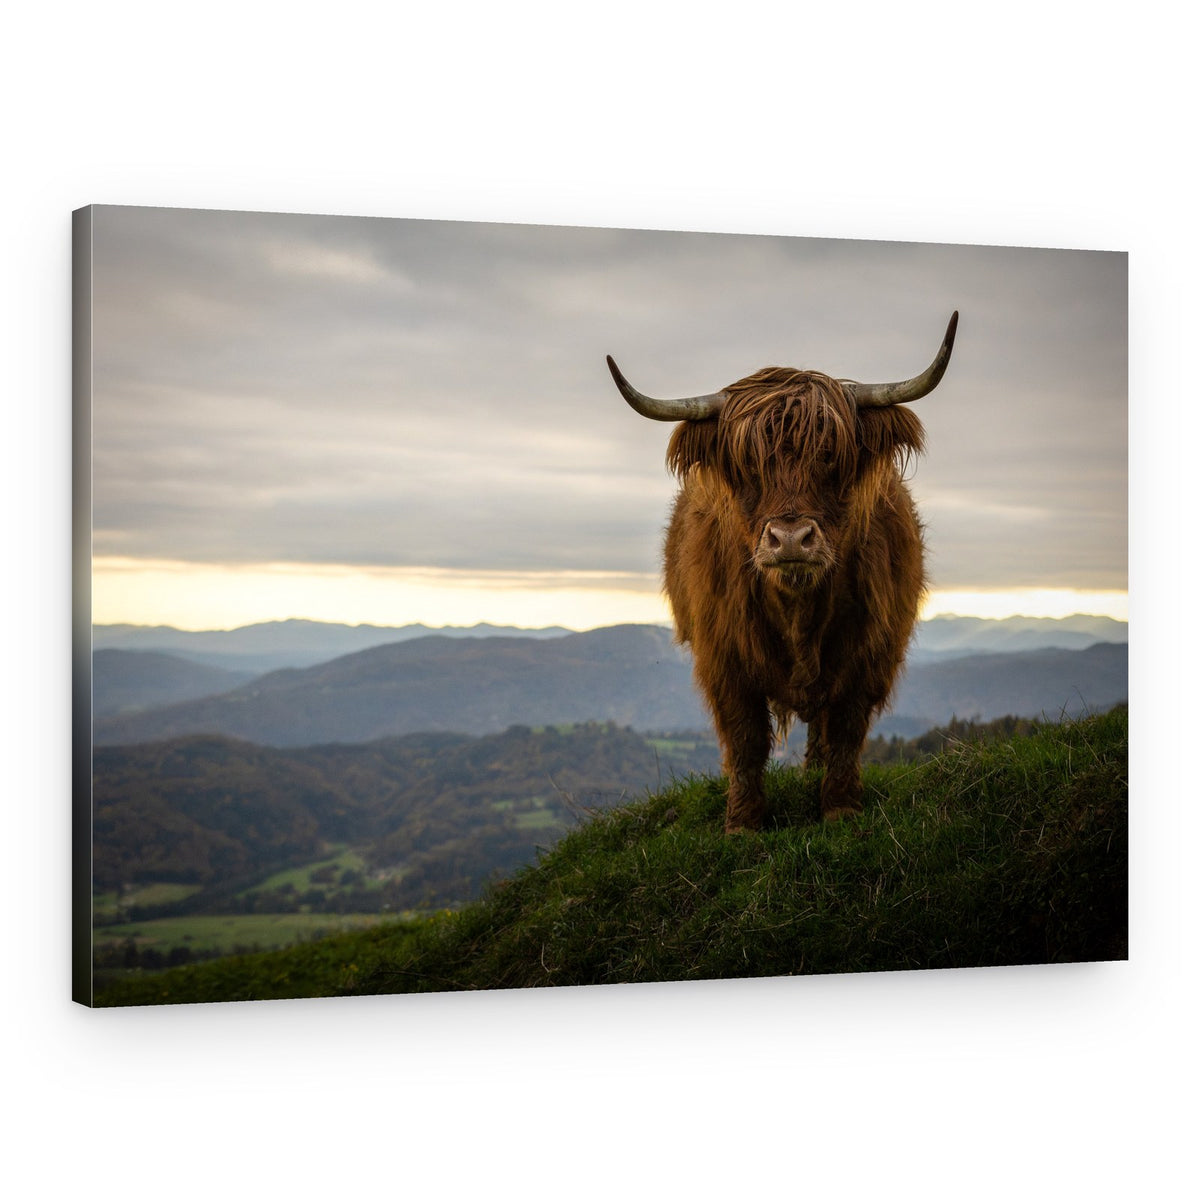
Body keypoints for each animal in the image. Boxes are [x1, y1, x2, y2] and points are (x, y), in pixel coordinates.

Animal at [607, 313, 957, 832]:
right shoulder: (723, 657)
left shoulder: (871, 651)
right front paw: (743, 822)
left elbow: (846, 728)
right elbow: (745, 736)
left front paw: (840, 808)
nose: (790, 538)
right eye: (748, 464)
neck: (798, 613)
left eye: (830, 455)